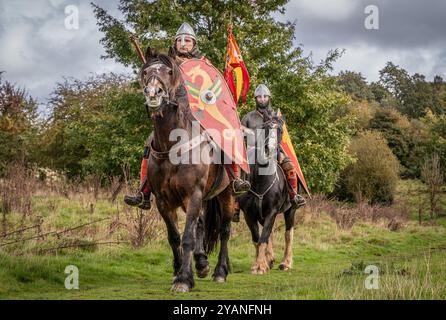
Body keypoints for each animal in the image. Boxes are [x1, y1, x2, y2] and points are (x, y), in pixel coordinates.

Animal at [141, 48, 235, 292]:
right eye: (145, 72)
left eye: (169, 71)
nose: (152, 94)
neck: (172, 144)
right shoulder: (163, 200)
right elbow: (174, 236)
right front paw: (179, 272)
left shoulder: (193, 195)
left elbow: (187, 237)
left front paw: (184, 279)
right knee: (201, 225)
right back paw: (201, 263)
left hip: (227, 194)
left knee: (224, 231)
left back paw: (220, 271)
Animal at [239, 112, 298, 272]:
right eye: (265, 128)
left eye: (280, 130)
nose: (269, 149)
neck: (261, 181)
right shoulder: (249, 215)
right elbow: (257, 239)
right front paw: (261, 263)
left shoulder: (271, 211)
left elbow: (264, 238)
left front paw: (260, 266)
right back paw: (270, 259)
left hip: (291, 210)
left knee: (288, 234)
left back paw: (286, 263)